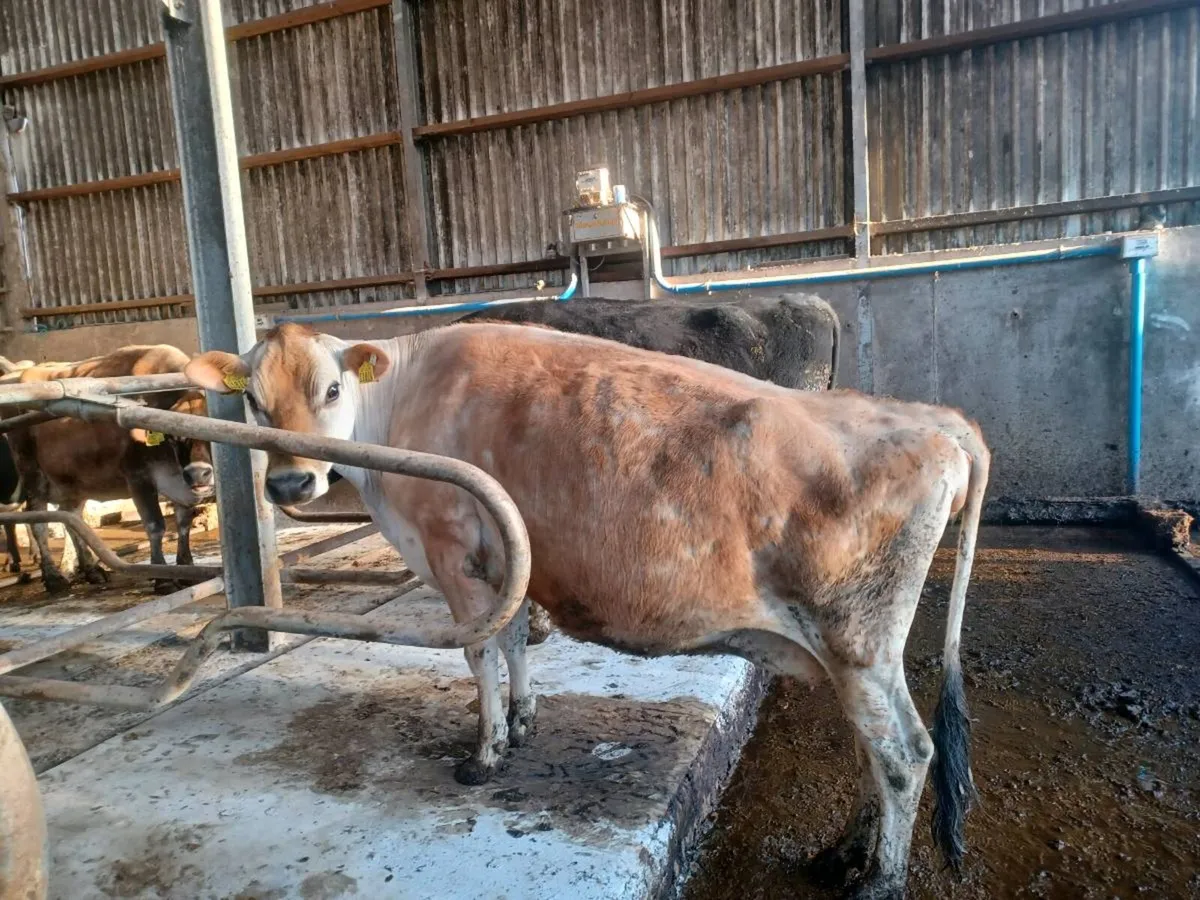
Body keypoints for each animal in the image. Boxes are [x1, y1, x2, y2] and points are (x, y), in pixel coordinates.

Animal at [7, 346, 216, 594]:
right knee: (38, 521)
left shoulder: (179, 485)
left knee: (72, 518)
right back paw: (53, 577)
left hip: (73, 483)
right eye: (174, 437)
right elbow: (155, 526)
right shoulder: (137, 477)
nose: (198, 474)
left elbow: (184, 524)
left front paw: (187, 568)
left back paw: (92, 570)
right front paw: (162, 577)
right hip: (31, 471)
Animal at [187, 323, 989, 898]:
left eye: (330, 389)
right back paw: (845, 852)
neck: (400, 403)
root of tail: (938, 422)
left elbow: (479, 649)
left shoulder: (452, 550)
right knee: (875, 746)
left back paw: (878, 879)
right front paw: (523, 720)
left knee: (905, 751)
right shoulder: (506, 558)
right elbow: (513, 638)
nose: (289, 483)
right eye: (254, 400)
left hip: (858, 637)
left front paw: (485, 754)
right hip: (850, 651)